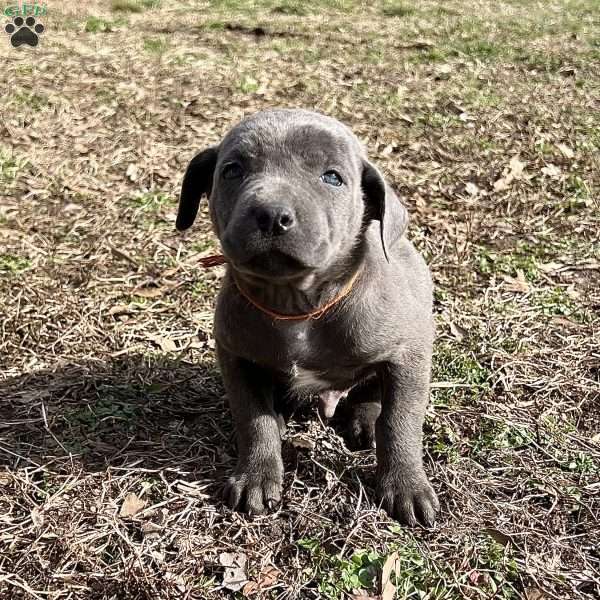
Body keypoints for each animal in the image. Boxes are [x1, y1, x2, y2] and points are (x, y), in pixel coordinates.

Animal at [176, 110, 438, 528]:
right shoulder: (235, 357)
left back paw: (364, 421)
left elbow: (400, 422)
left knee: (371, 394)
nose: (271, 214)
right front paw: (255, 476)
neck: (297, 304)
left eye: (332, 177)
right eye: (232, 170)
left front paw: (406, 486)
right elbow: (253, 418)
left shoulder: (409, 354)